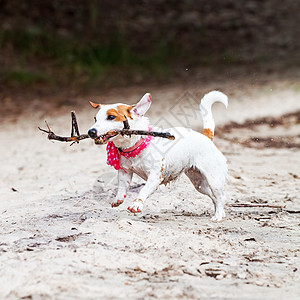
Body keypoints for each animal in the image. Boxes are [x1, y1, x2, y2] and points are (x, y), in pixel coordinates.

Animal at [88, 91, 227, 220]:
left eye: (111, 117)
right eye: (95, 119)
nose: (91, 132)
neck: (137, 145)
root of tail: (206, 137)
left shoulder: (155, 176)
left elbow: (143, 190)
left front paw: (136, 204)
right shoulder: (125, 172)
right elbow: (122, 187)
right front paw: (118, 199)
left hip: (213, 180)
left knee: (220, 197)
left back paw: (218, 216)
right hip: (200, 184)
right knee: (215, 198)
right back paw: (220, 213)